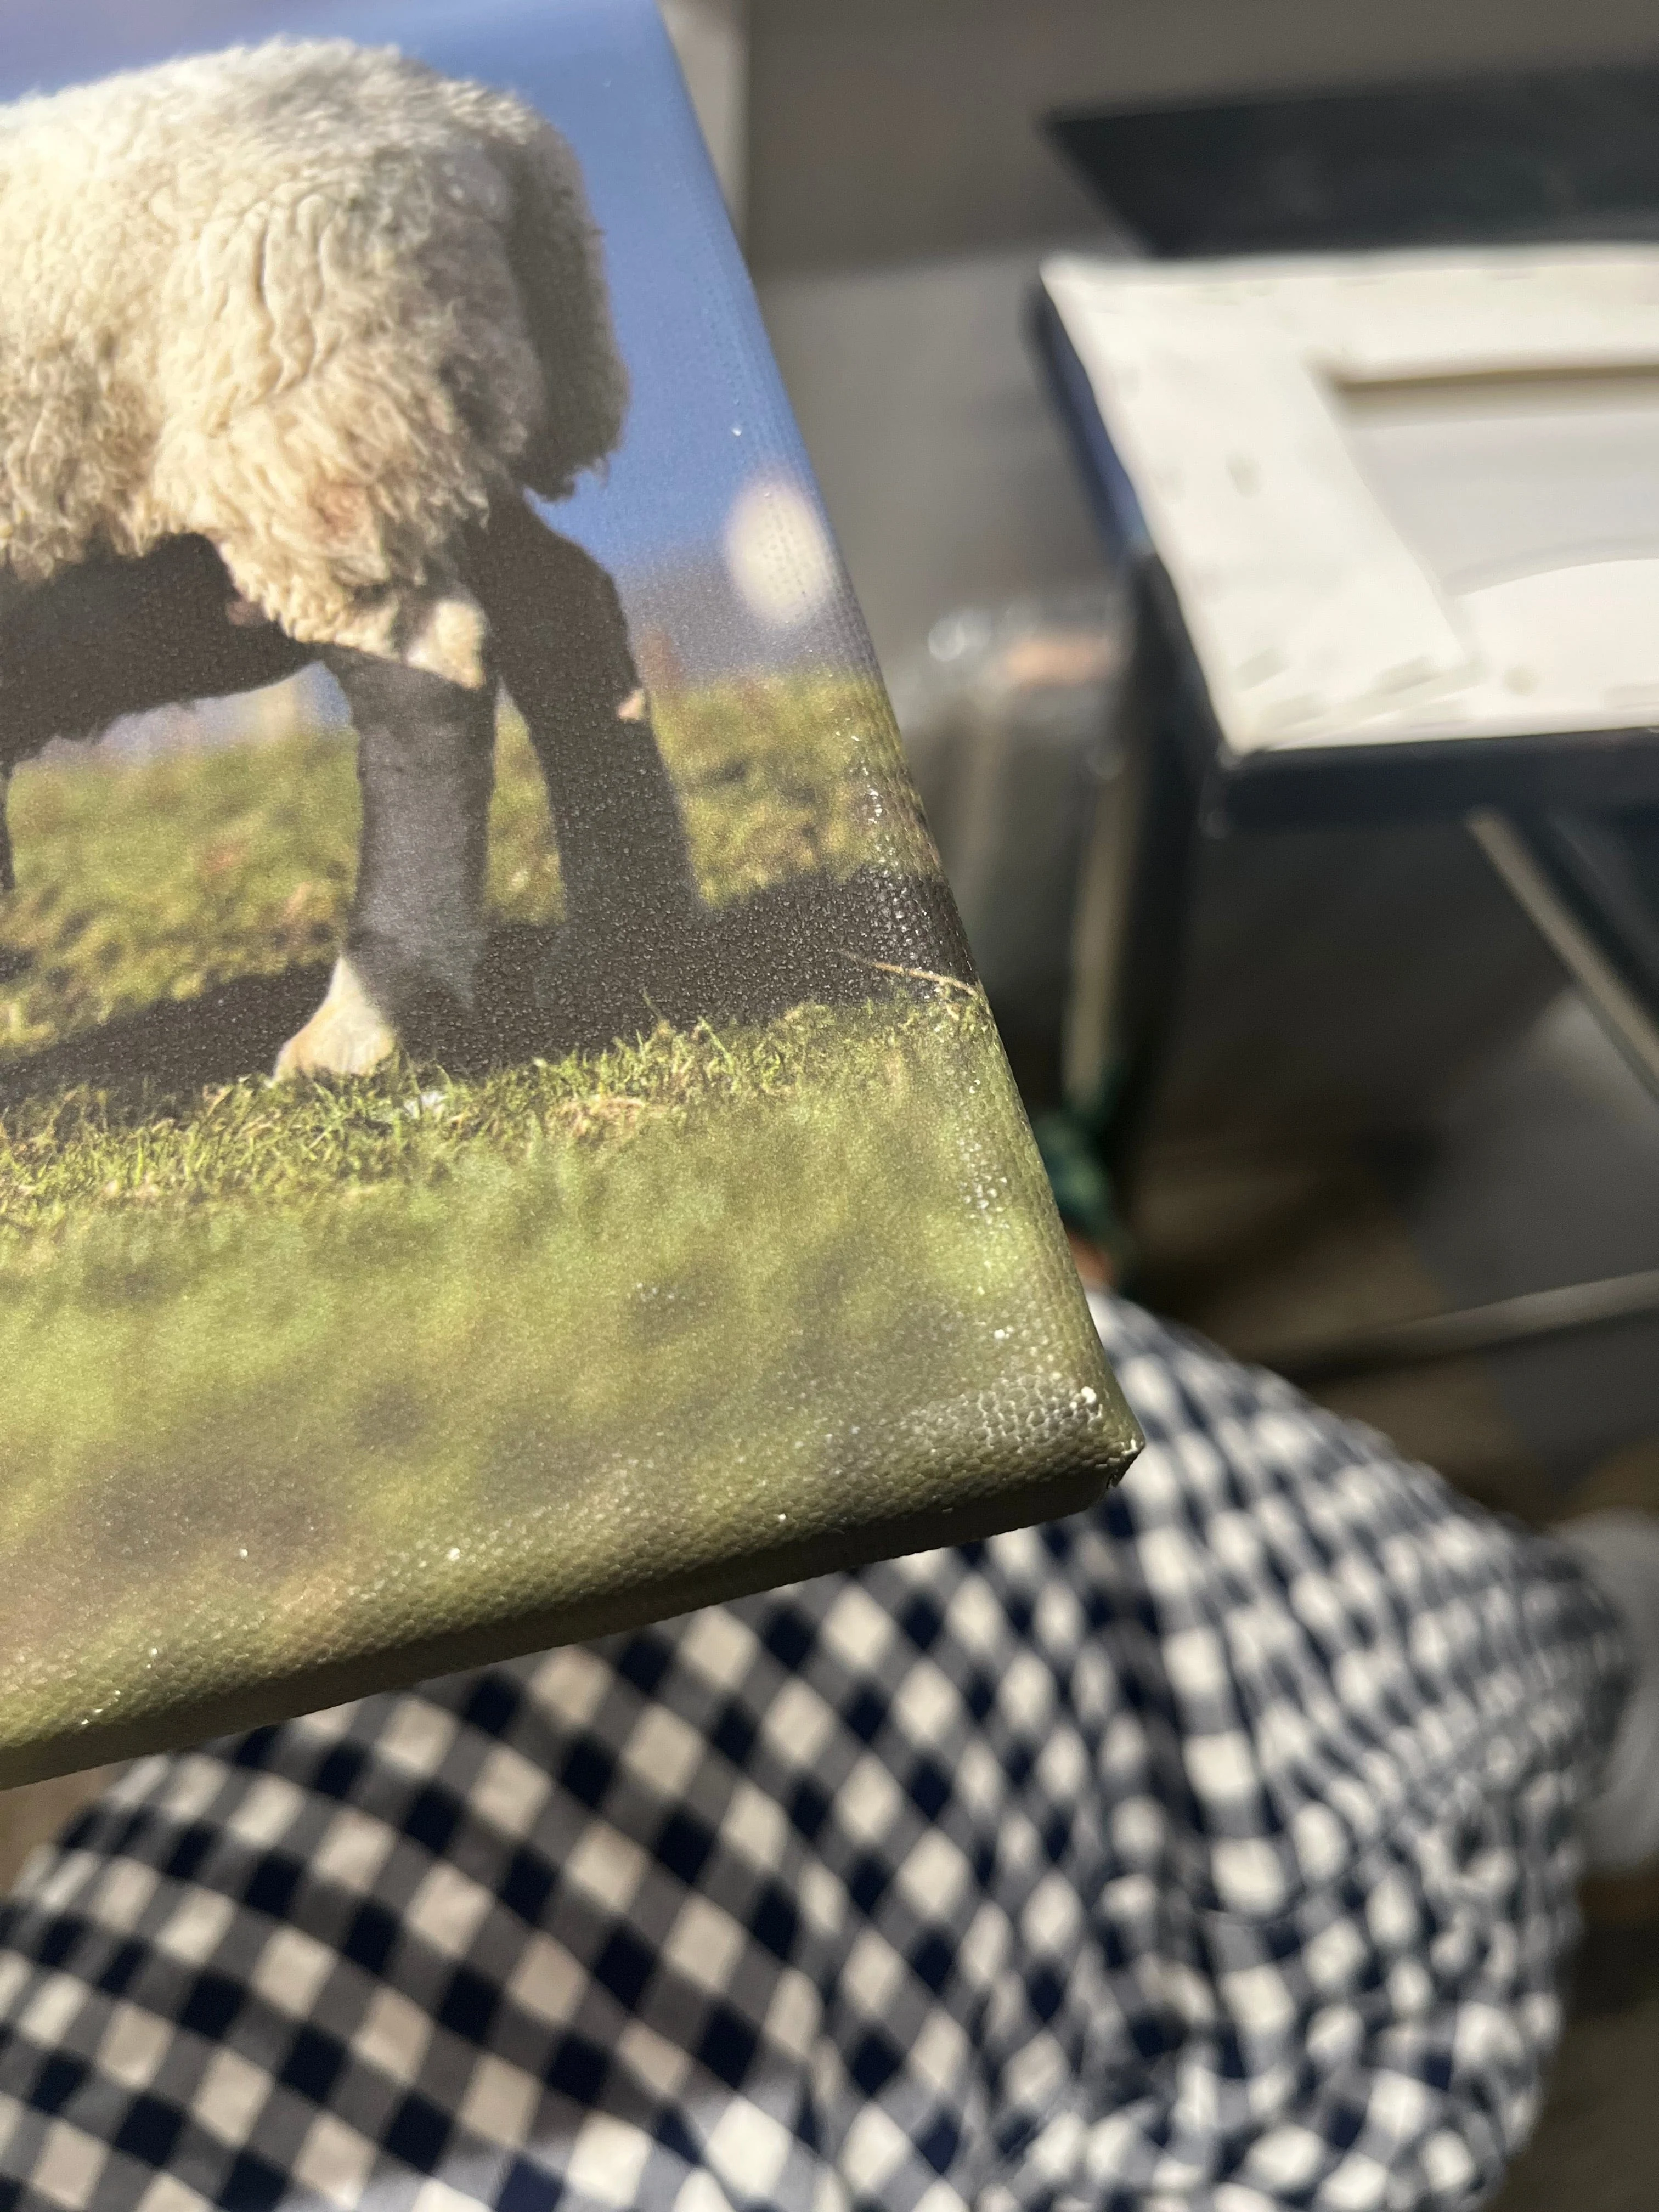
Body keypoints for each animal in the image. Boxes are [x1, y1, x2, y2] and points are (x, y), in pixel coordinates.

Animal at [0, 39, 696, 1074]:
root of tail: (478, 126)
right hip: (433, 433)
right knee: (563, 618)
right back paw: (618, 951)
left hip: (316, 440)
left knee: (429, 682)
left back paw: (371, 1018)